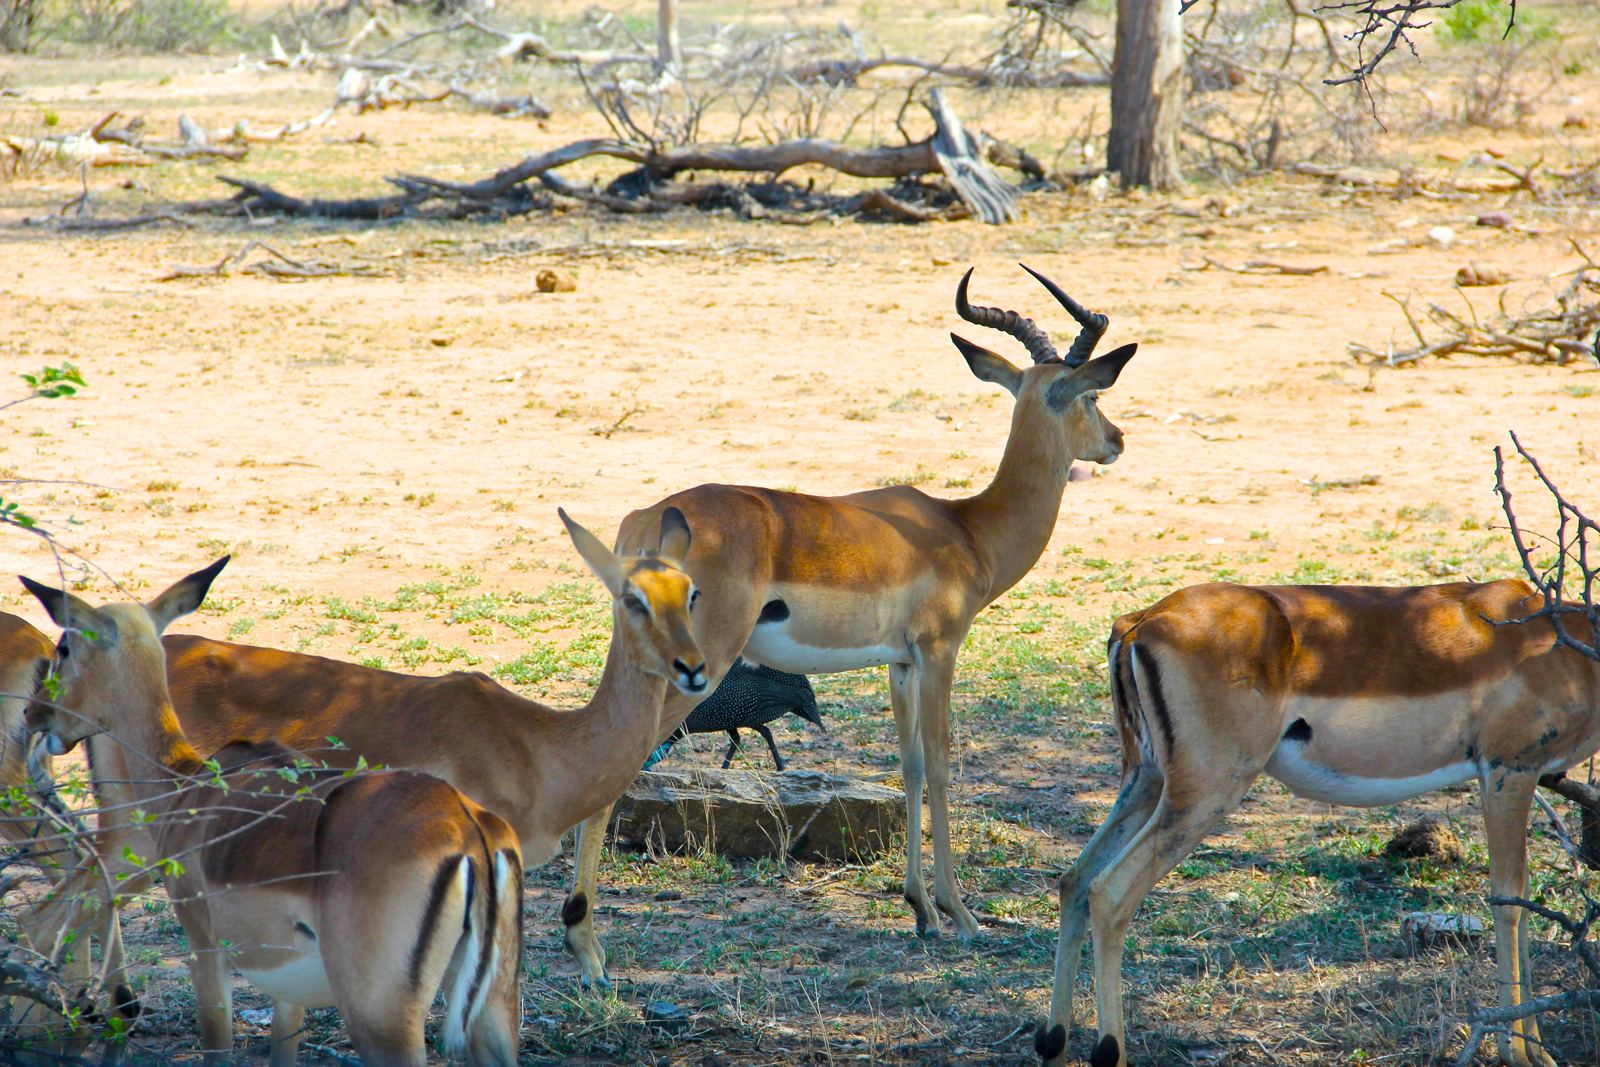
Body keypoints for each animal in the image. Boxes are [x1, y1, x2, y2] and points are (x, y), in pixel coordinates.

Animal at [11, 505, 708, 1012]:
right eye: (632, 597)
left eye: (691, 592)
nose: (693, 669)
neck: (537, 747)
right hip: (136, 843)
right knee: (45, 917)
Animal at [20, 560, 524, 1067]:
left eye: (65, 647)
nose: (34, 714)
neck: (185, 784)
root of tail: (469, 830)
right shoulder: (287, 994)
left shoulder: (204, 948)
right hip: (492, 1015)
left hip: (383, 1023)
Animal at [558, 265, 1138, 982]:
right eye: (1091, 396)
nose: (1117, 440)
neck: (967, 529)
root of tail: (644, 520)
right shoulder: (940, 651)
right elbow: (941, 763)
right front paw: (962, 916)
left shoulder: (898, 662)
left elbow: (909, 765)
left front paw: (921, 911)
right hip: (698, 667)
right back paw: (589, 954)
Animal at [1036, 579, 1600, 1067]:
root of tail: (1138, 623)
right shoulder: (1509, 772)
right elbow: (1511, 901)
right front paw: (1522, 1053)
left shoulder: (1516, 776)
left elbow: (1521, 903)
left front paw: (1539, 1050)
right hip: (1204, 794)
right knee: (1110, 892)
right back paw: (1109, 1050)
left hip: (1147, 781)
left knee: (1075, 880)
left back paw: (1054, 1044)